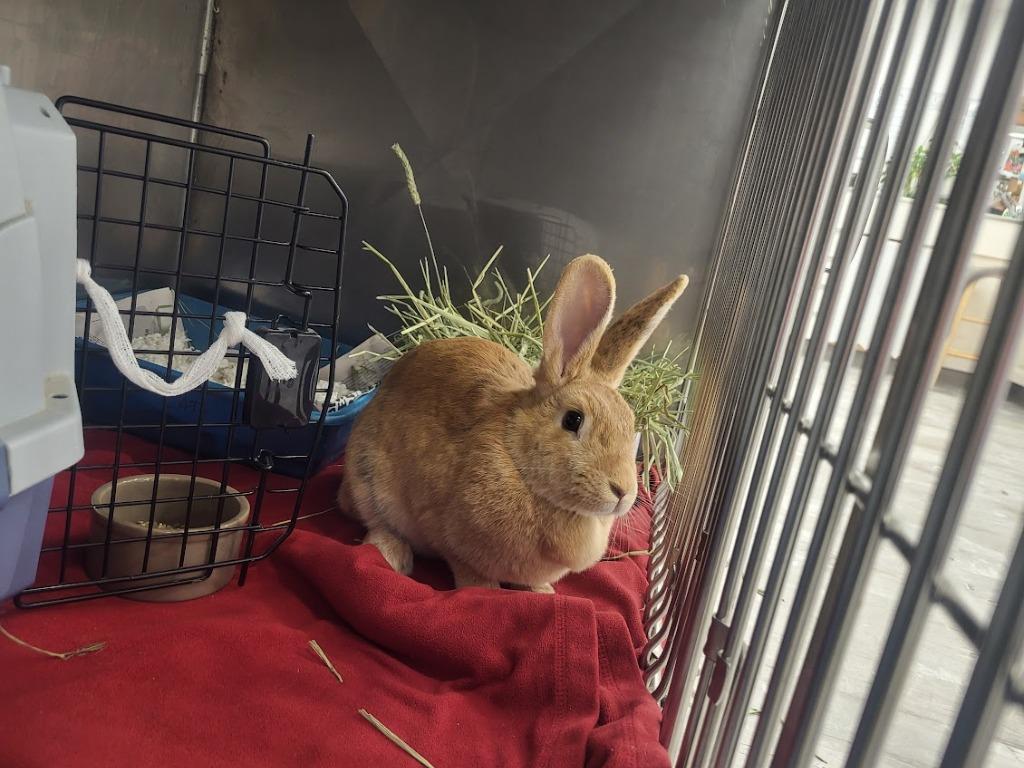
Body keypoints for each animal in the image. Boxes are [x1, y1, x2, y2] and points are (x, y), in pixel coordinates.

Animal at [338, 254, 688, 592]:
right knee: (376, 523)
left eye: (631, 424)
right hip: (368, 481)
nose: (623, 492)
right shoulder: (450, 539)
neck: (518, 461)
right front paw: (489, 591)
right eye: (573, 420)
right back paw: (393, 555)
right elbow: (471, 575)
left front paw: (544, 592)